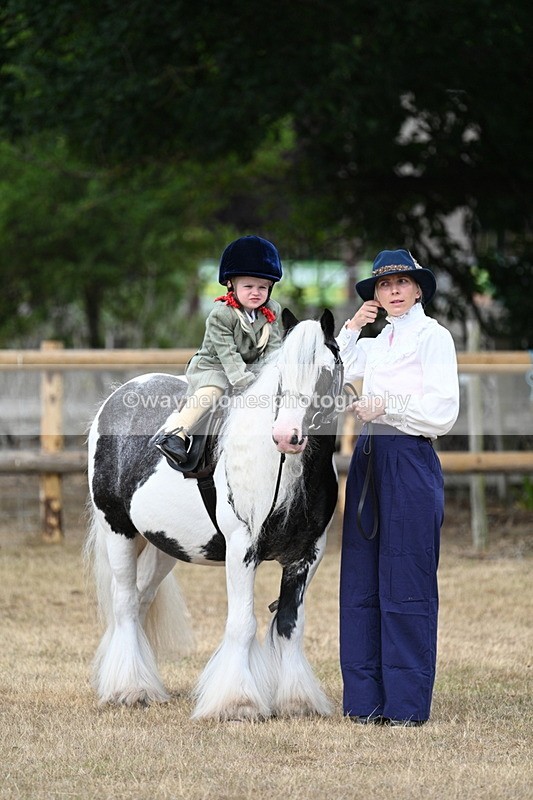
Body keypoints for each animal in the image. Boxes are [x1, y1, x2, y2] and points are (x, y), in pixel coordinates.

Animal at [85, 308, 343, 720]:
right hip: (118, 531)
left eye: (324, 371)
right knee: (124, 604)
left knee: (140, 600)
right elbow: (242, 623)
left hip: (164, 547)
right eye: (281, 375)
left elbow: (290, 623)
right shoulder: (241, 550)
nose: (286, 436)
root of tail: (118, 396)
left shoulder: (307, 556)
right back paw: (130, 688)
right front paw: (237, 702)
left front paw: (297, 701)